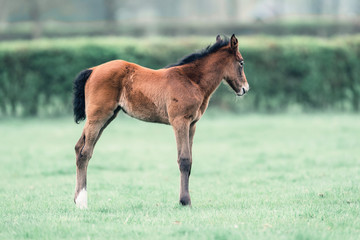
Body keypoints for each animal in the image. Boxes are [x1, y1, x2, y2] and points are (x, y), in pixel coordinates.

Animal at [72, 33, 249, 208]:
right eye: (241, 62)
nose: (245, 89)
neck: (191, 81)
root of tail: (93, 70)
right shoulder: (180, 121)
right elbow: (184, 159)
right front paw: (185, 201)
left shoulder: (192, 124)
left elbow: (190, 160)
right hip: (98, 117)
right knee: (85, 153)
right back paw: (82, 202)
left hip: (106, 117)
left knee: (79, 147)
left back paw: (75, 199)